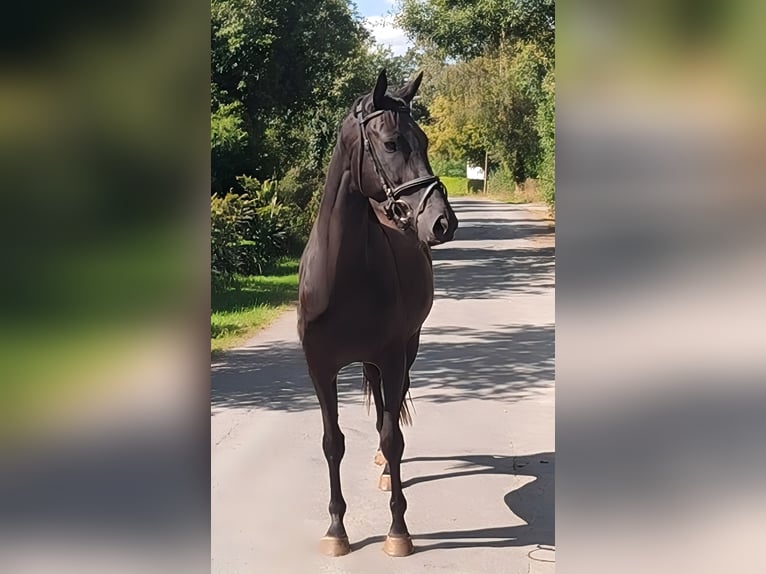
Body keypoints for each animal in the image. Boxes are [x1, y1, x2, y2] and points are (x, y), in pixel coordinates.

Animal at [297, 69, 458, 557]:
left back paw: (388, 474)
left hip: (406, 350)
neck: (342, 277)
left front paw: (398, 531)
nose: (442, 222)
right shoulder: (320, 368)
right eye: (390, 143)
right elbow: (333, 442)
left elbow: (392, 436)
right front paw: (336, 531)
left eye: (424, 140)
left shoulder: (390, 356)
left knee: (393, 413)